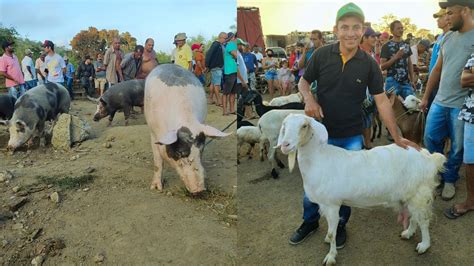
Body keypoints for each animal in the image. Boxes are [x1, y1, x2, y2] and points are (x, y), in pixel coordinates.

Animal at [276, 112, 446, 266]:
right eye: (284, 126)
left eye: (304, 126)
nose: (285, 145)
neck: (319, 159)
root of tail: (428, 157)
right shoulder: (325, 204)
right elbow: (330, 232)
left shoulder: (332, 204)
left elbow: (331, 234)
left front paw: (331, 257)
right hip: (409, 194)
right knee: (414, 217)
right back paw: (408, 233)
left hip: (419, 193)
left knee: (423, 220)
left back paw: (424, 245)